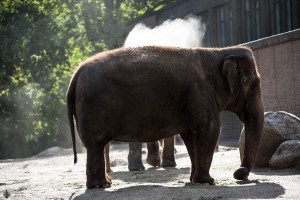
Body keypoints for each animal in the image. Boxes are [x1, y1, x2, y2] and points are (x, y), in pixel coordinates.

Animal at [67, 45, 264, 189]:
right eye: (255, 87)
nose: (239, 173)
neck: (218, 52)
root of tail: (76, 73)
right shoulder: (200, 94)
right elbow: (210, 129)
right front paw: (208, 182)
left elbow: (190, 135)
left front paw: (194, 180)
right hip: (94, 108)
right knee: (96, 144)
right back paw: (101, 186)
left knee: (96, 146)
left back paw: (104, 184)